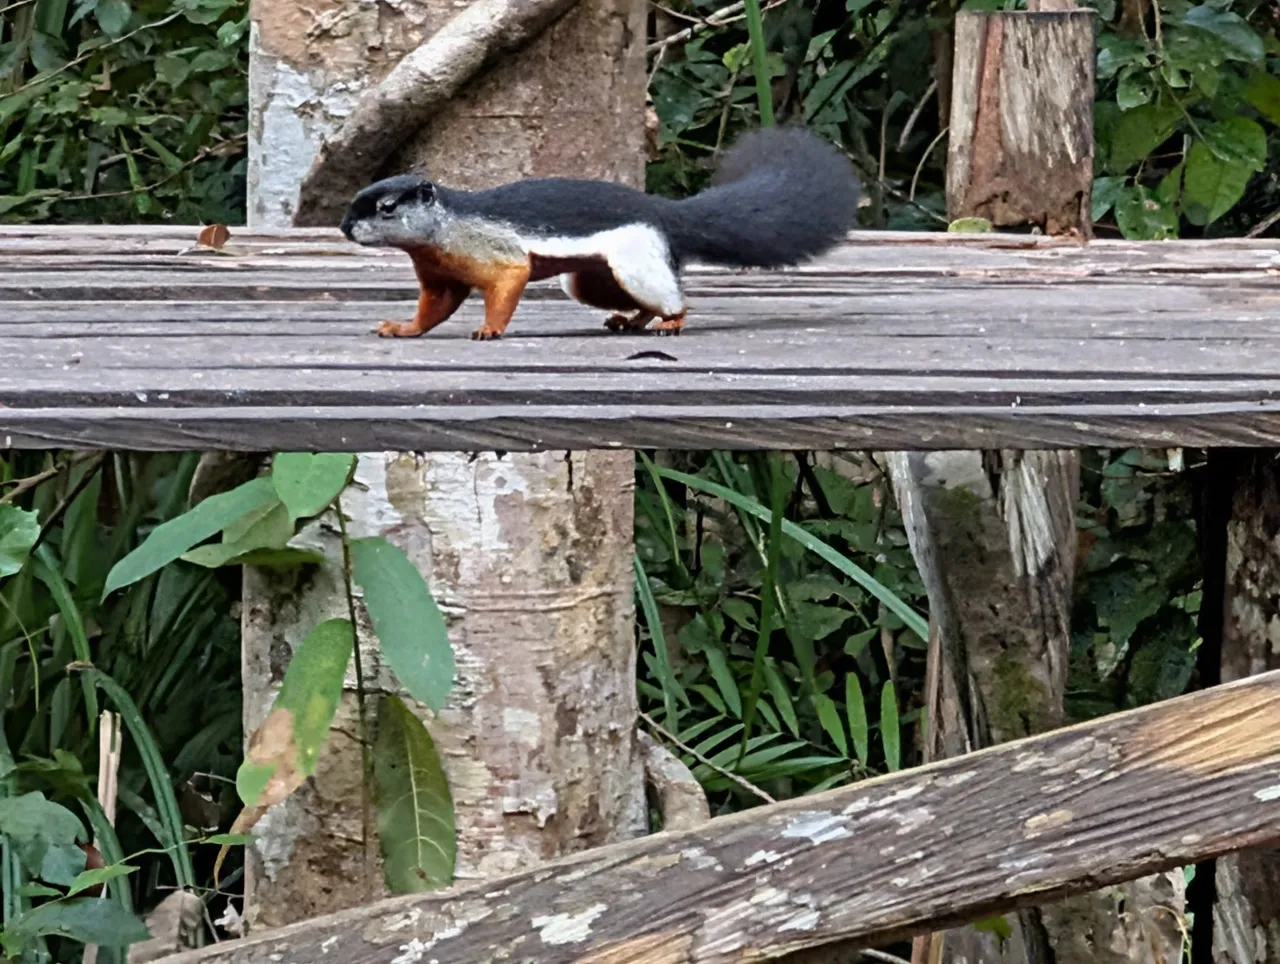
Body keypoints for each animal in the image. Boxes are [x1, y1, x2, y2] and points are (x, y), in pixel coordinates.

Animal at [338, 125, 860, 340]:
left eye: (387, 208)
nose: (344, 227)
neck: (443, 232)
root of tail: (667, 214)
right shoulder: (441, 276)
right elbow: (434, 309)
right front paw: (402, 328)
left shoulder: (496, 252)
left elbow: (508, 281)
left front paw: (490, 328)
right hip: (591, 279)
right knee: (633, 301)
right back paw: (631, 321)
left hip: (636, 261)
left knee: (672, 298)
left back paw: (671, 321)